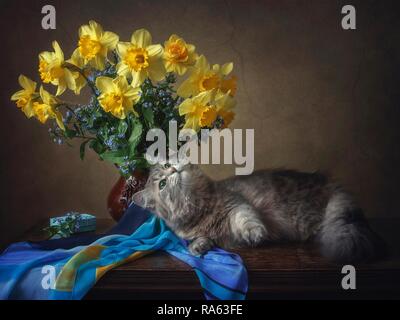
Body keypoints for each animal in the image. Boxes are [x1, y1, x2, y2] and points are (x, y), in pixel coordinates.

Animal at [134, 162, 384, 262]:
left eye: (168, 164)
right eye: (162, 184)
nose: (173, 170)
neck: (201, 209)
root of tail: (331, 184)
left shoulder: (238, 205)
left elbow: (246, 220)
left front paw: (255, 234)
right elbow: (202, 240)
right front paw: (197, 248)